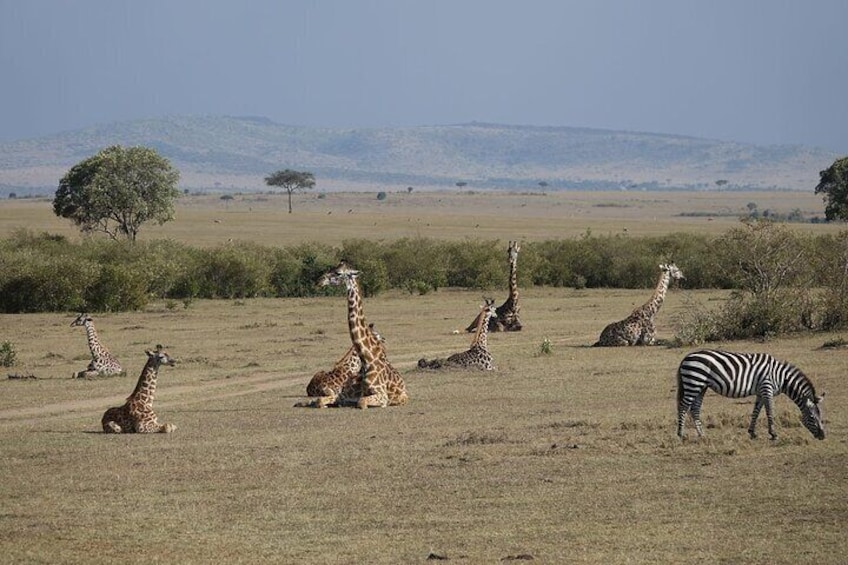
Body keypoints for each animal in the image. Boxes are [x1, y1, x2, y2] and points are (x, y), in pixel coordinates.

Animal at [676, 349, 825, 441]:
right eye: (812, 417)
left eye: (821, 416)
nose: (823, 436)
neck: (781, 377)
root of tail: (686, 357)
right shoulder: (767, 388)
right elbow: (770, 412)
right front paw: (773, 434)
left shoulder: (761, 392)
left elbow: (756, 412)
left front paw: (752, 433)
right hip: (694, 383)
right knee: (683, 407)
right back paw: (681, 434)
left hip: (701, 386)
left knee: (694, 409)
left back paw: (702, 434)